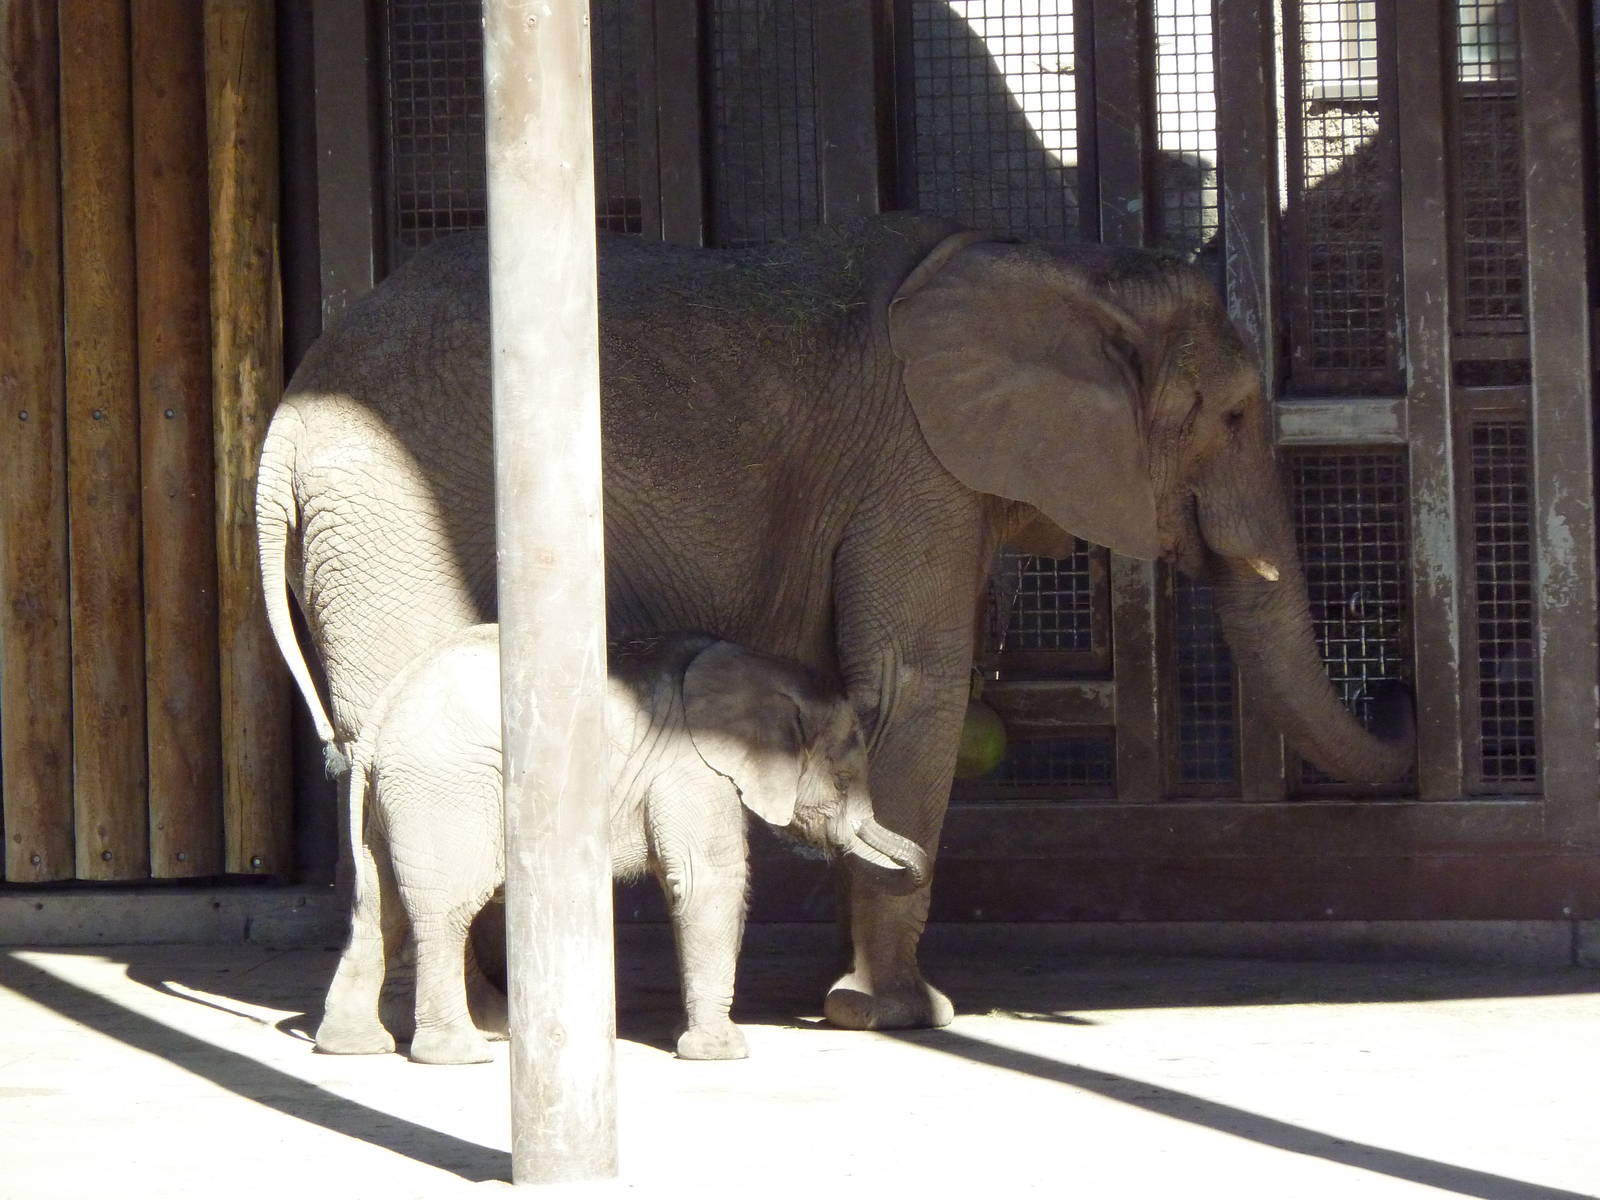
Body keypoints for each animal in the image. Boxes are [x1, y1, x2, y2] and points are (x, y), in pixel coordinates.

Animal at [323, 628, 924, 1064]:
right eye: (844, 778)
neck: (760, 668)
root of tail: (376, 721)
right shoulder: (693, 769)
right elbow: (709, 883)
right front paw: (722, 1052)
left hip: (394, 801)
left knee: (377, 908)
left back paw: (353, 1048)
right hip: (445, 791)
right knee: (444, 913)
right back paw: (462, 1054)